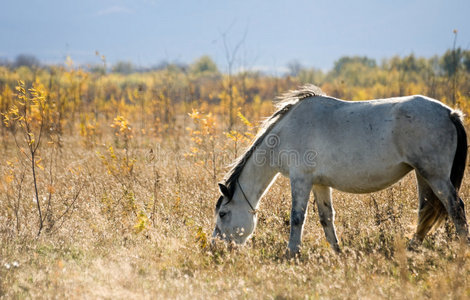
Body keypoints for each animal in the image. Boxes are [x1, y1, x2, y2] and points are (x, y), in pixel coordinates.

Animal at [212, 85, 466, 253]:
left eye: (223, 214)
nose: (216, 247)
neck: (286, 133)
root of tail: (449, 113)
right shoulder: (319, 184)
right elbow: (326, 218)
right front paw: (338, 252)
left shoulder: (301, 180)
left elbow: (297, 217)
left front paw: (291, 253)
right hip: (423, 176)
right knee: (425, 212)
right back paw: (412, 248)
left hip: (436, 176)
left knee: (455, 208)